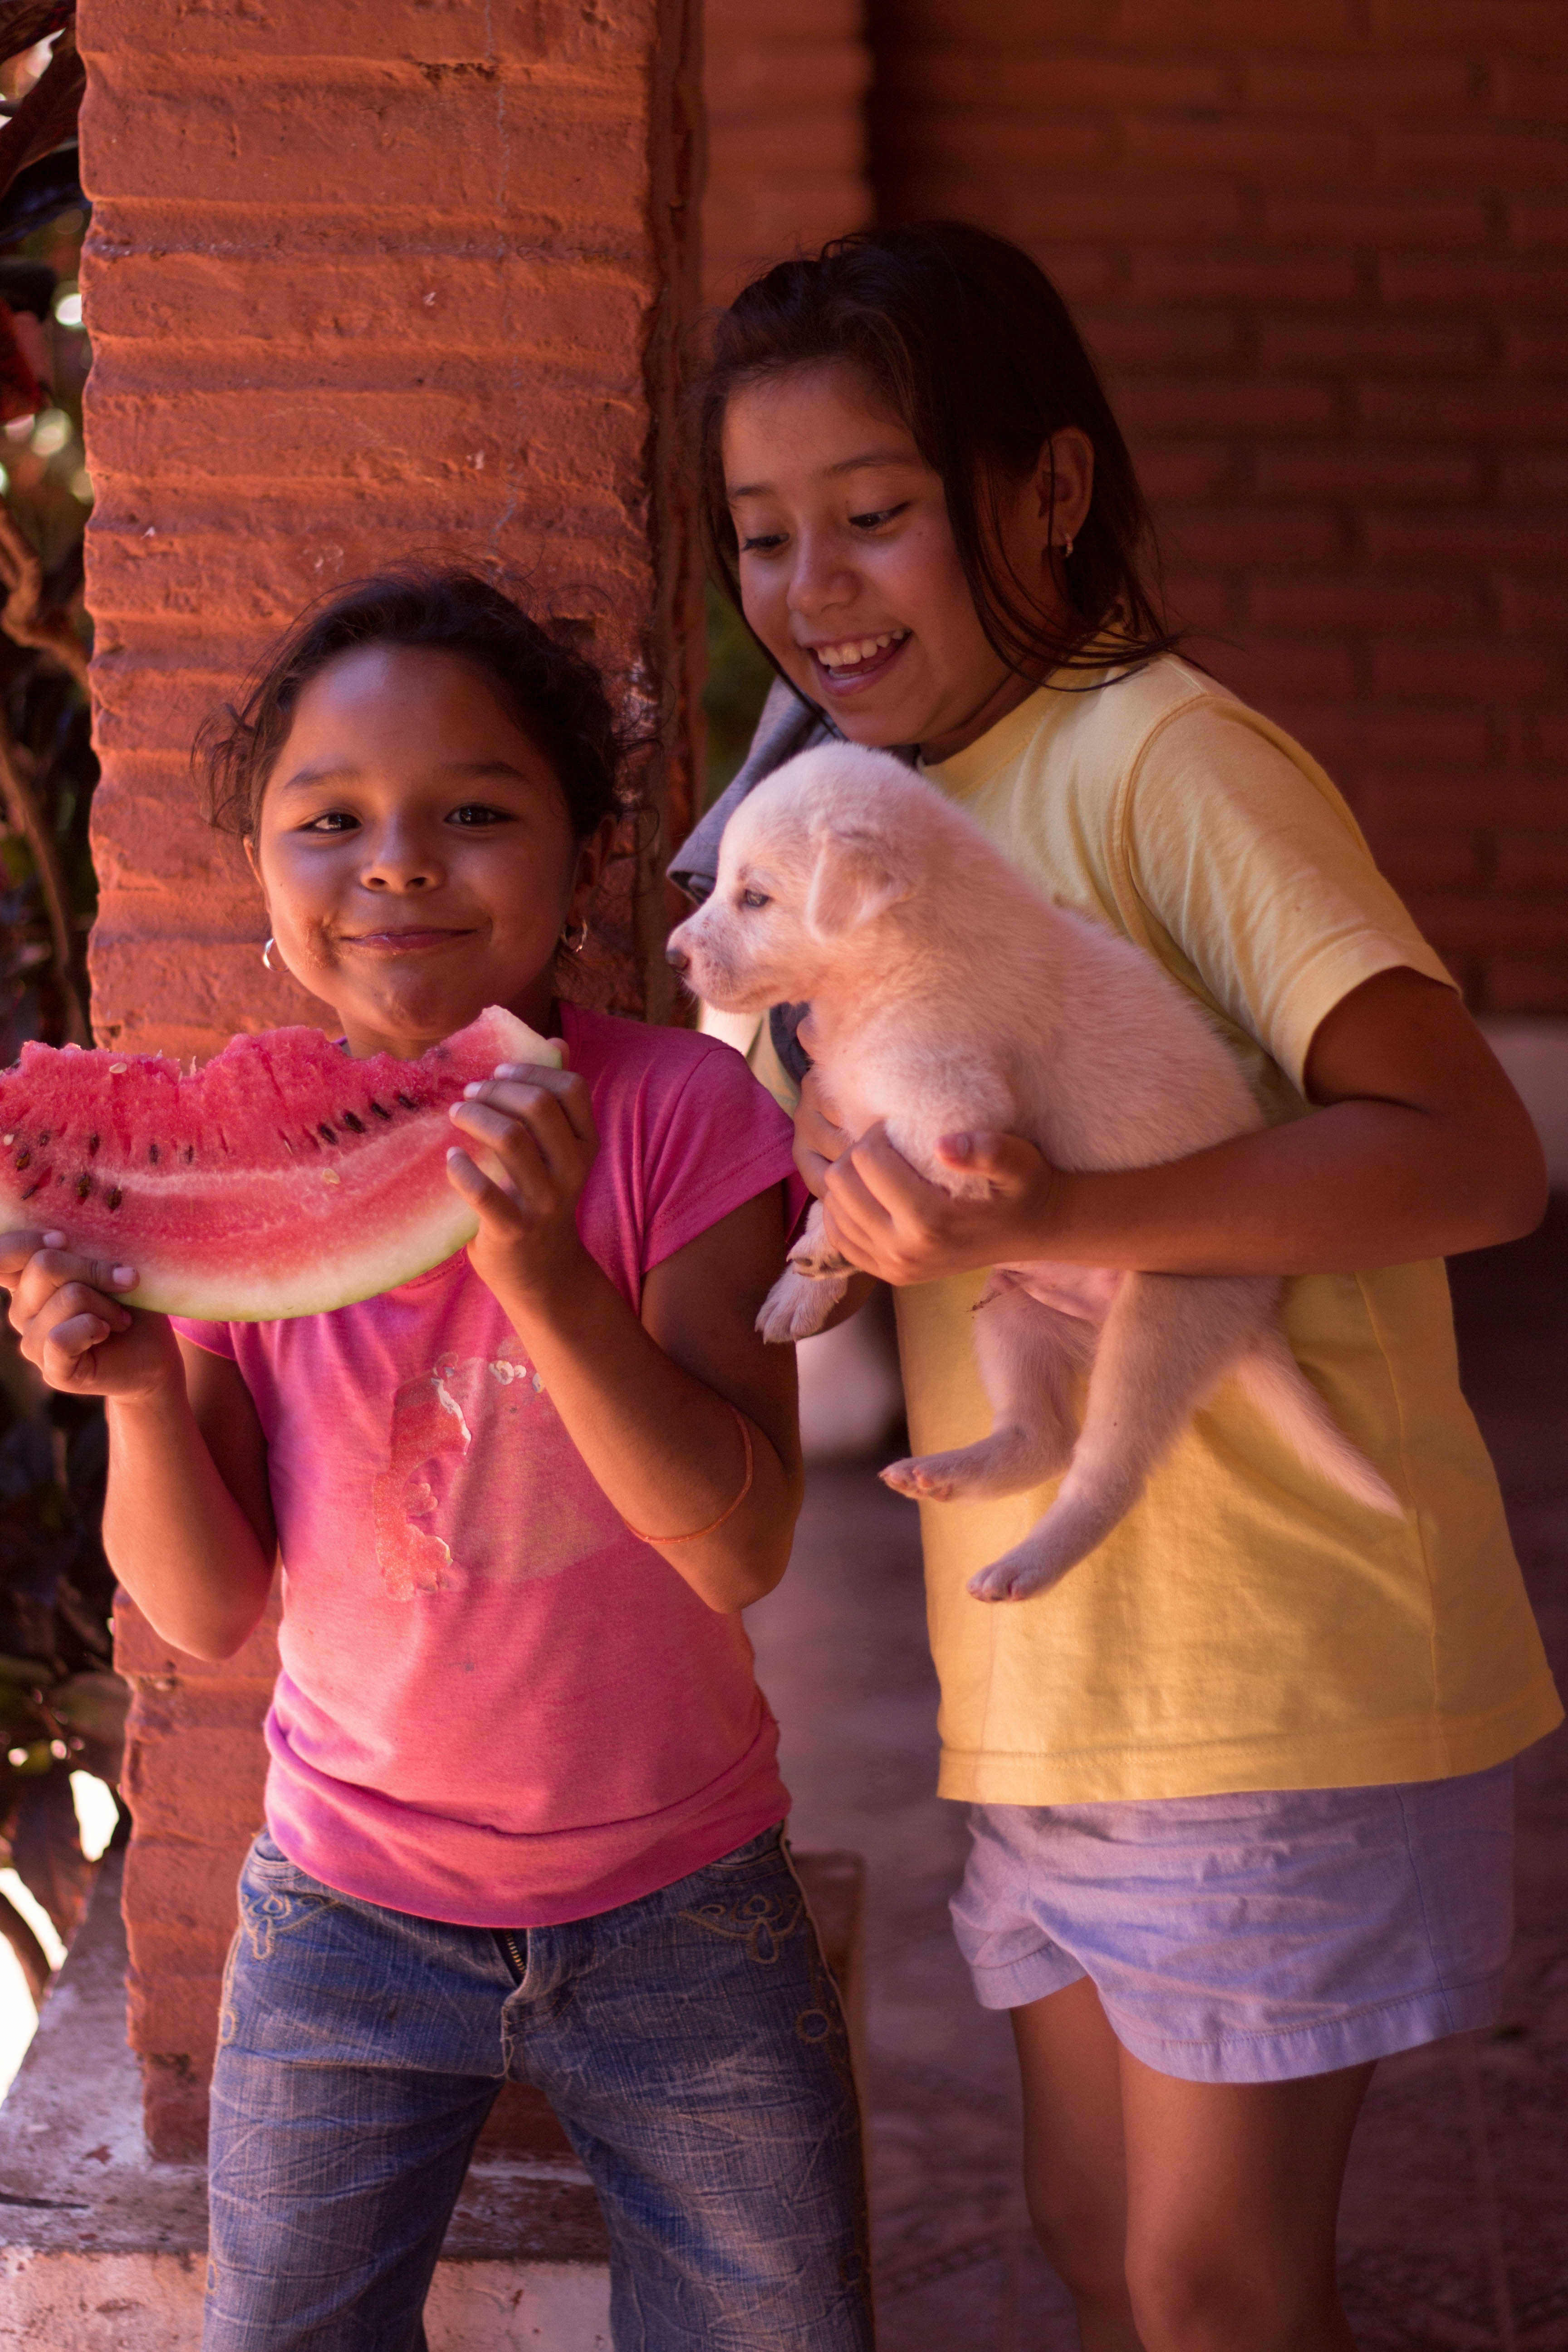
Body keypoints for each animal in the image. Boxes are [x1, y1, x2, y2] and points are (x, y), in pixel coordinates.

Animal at [667, 743, 1401, 1608]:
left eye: (755, 896)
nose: (673, 954)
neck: (897, 961)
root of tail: (1257, 1324)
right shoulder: (852, 1105)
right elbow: (829, 1183)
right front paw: (799, 1285)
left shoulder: (952, 1110)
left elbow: (863, 1180)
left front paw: (832, 1250)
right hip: (1014, 1314)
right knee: (1041, 1437)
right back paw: (950, 1473)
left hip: (1163, 1322)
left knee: (1105, 1472)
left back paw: (1028, 1563)